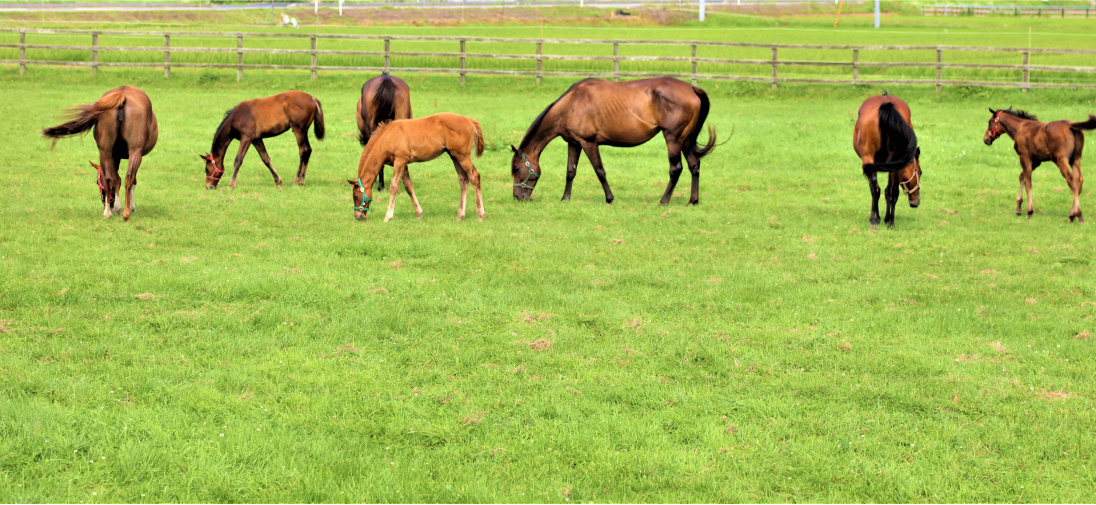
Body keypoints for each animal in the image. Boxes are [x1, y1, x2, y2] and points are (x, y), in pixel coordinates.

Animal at [42, 85, 157, 219]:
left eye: (97, 182)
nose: (106, 202)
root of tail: (122, 93)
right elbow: (130, 180)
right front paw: (130, 206)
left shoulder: (114, 155)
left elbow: (116, 179)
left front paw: (116, 206)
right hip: (135, 151)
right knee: (129, 177)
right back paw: (126, 213)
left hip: (105, 150)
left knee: (108, 177)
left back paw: (107, 212)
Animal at [348, 112, 486, 222]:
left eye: (355, 196)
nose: (358, 216)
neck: (386, 137)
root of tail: (469, 120)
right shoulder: (403, 164)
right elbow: (408, 186)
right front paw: (419, 213)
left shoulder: (400, 160)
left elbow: (394, 186)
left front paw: (388, 216)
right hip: (454, 156)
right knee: (463, 180)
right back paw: (460, 216)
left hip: (463, 156)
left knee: (474, 176)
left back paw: (480, 215)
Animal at [508, 76, 714, 204]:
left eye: (517, 169)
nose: (517, 197)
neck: (570, 104)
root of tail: (691, 88)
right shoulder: (574, 143)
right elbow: (570, 171)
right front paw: (565, 198)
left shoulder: (588, 142)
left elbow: (600, 171)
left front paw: (609, 198)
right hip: (685, 140)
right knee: (694, 165)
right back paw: (692, 200)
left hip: (673, 139)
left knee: (675, 169)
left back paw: (664, 201)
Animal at [850, 93, 920, 228]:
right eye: (920, 172)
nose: (916, 202)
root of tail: (886, 104)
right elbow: (889, 191)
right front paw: (886, 219)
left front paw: (881, 218)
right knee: (890, 190)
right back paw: (888, 221)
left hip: (870, 160)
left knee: (876, 188)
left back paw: (876, 219)